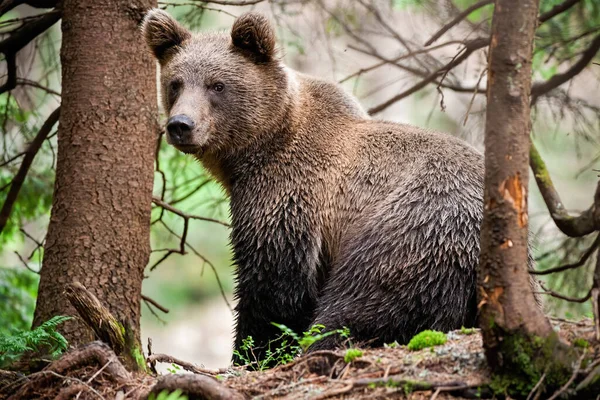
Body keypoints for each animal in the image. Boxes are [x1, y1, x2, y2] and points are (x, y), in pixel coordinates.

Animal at [143, 10, 486, 362]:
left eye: (217, 85)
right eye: (175, 83)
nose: (181, 125)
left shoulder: (288, 197)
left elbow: (272, 286)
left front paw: (251, 354)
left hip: (412, 227)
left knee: (362, 301)